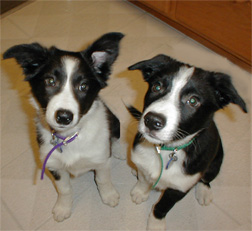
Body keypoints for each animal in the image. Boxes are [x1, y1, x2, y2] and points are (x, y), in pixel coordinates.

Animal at [3, 32, 125, 222]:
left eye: (83, 86)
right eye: (50, 81)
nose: (64, 117)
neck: (69, 136)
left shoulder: (100, 159)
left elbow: (103, 179)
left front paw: (109, 195)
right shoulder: (54, 165)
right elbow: (64, 189)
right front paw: (63, 208)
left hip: (113, 120)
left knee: (116, 135)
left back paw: (118, 151)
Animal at [127, 55, 247, 230]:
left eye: (193, 101)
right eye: (157, 87)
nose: (152, 121)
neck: (166, 150)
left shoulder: (179, 188)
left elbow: (162, 207)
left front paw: (155, 224)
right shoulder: (142, 161)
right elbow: (143, 179)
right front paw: (140, 192)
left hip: (216, 161)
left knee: (206, 179)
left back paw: (204, 192)